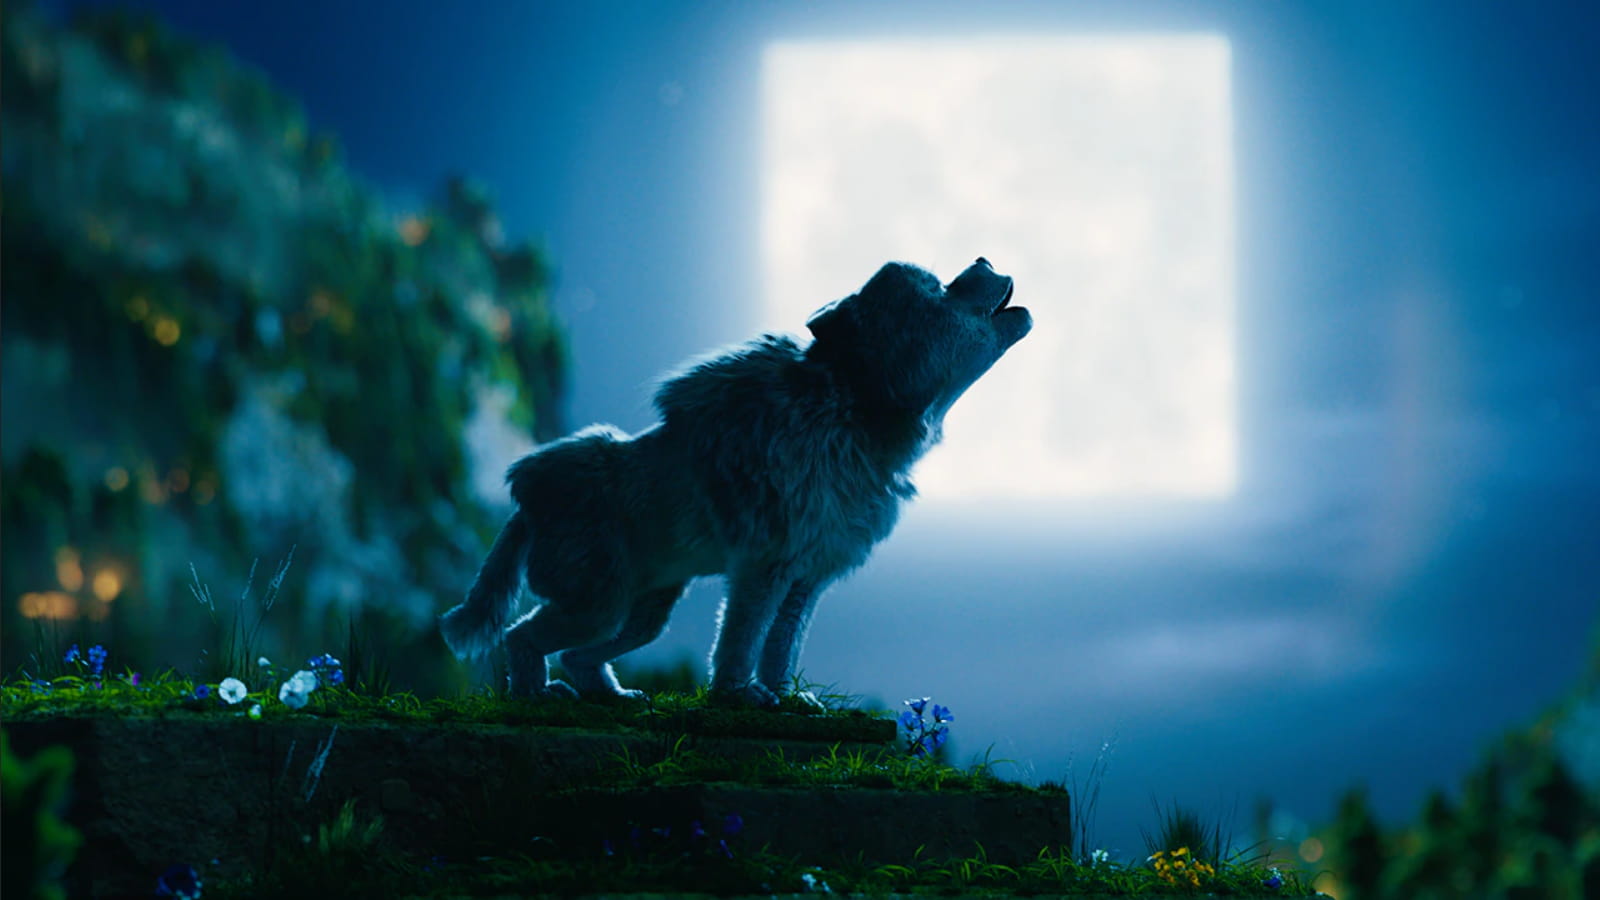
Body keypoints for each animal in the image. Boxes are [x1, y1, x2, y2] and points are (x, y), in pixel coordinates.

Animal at [439, 258, 1032, 707]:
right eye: (937, 288)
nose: (985, 259)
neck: (851, 415)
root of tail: (526, 498)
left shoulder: (806, 578)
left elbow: (782, 647)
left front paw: (787, 699)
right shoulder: (764, 567)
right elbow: (742, 640)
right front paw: (738, 696)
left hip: (644, 612)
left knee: (575, 654)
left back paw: (610, 696)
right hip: (598, 604)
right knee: (520, 636)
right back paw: (533, 696)